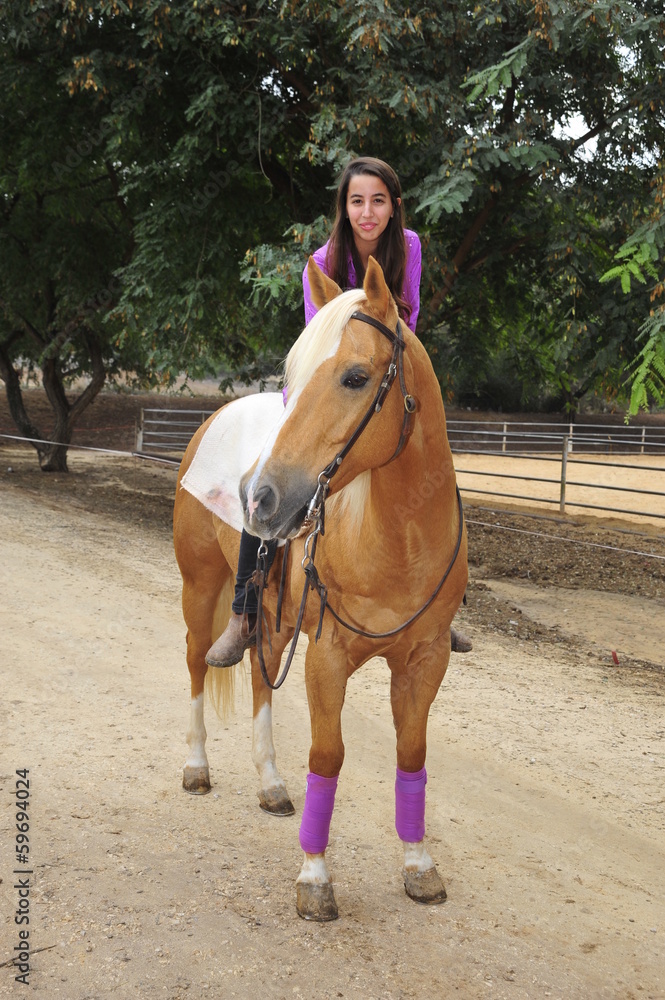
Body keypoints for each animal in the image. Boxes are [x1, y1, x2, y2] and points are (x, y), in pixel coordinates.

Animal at [173, 256, 468, 921]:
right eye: (292, 374)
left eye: (356, 377)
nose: (260, 498)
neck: (399, 540)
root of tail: (213, 419)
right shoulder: (328, 656)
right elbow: (327, 756)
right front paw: (314, 876)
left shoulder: (425, 658)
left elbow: (413, 752)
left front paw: (419, 866)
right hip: (200, 587)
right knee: (198, 664)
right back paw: (197, 766)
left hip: (277, 618)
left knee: (260, 676)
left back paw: (271, 783)